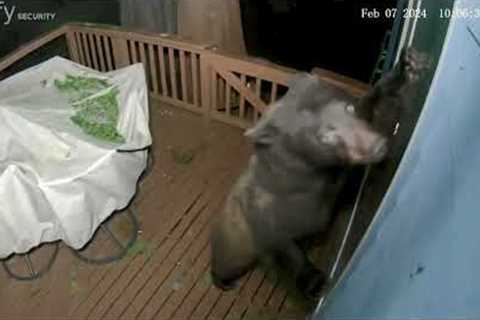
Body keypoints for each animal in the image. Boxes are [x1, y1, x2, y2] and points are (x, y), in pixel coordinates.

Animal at [210, 47, 428, 298]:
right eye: (326, 135)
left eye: (349, 108)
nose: (377, 146)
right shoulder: (272, 207)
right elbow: (284, 243)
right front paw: (312, 279)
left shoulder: (334, 177)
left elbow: (370, 101)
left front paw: (407, 66)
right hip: (234, 248)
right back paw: (224, 281)